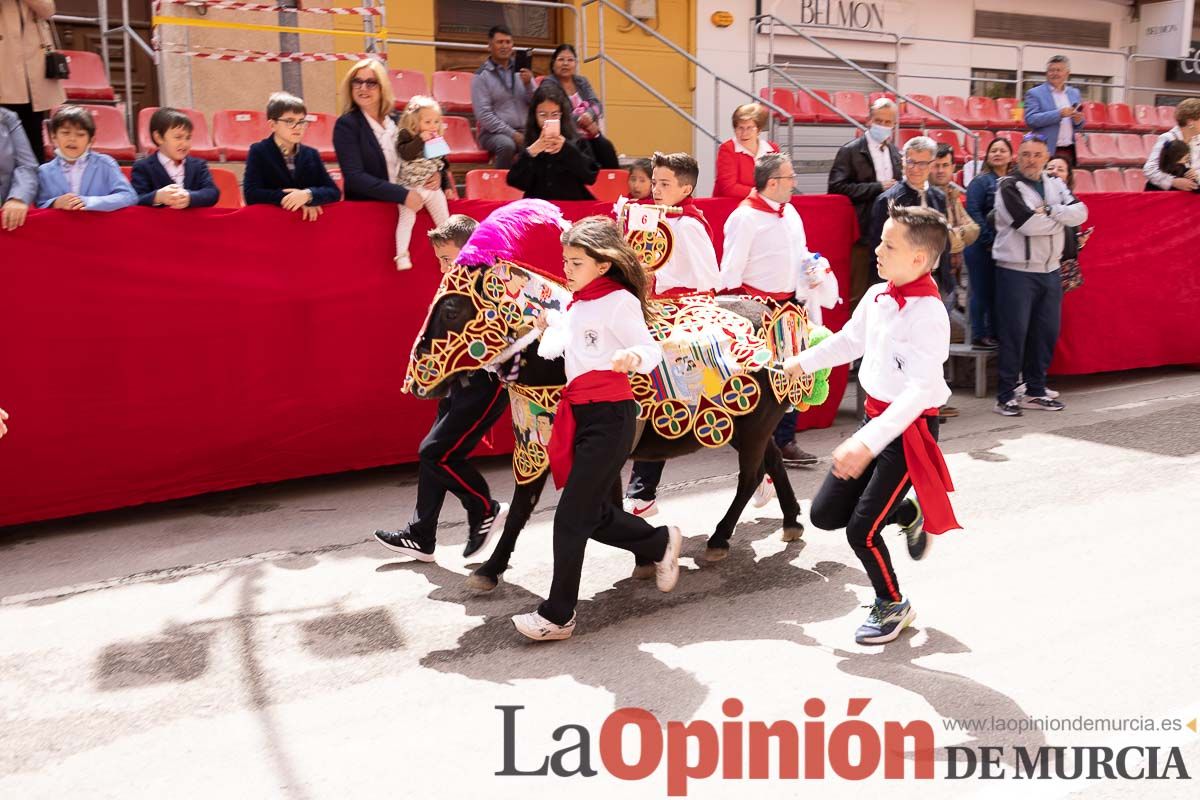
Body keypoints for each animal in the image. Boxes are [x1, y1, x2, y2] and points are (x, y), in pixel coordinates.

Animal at [403, 200, 835, 592]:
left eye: (451, 309)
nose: (416, 382)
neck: (553, 360)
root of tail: (785, 319)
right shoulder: (537, 447)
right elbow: (524, 510)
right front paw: (490, 569)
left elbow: (593, 510)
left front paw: (649, 554)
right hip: (749, 425)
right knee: (772, 460)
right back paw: (792, 522)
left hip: (751, 425)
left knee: (750, 476)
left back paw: (719, 538)